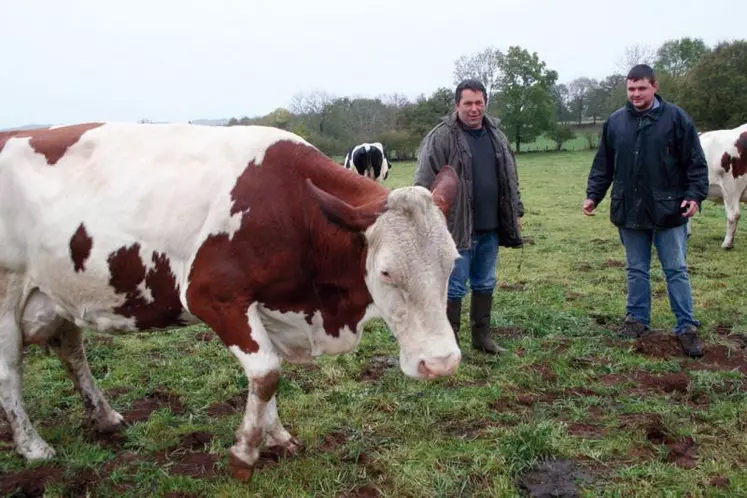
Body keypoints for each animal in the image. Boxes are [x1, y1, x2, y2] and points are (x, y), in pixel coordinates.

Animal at [0, 121, 462, 482]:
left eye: (454, 261)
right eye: (385, 272)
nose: (441, 363)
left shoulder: (269, 306)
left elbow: (267, 379)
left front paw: (277, 437)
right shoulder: (212, 296)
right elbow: (267, 373)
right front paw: (245, 454)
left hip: (61, 290)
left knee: (72, 352)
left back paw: (104, 416)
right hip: (6, 295)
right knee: (10, 373)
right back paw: (33, 446)